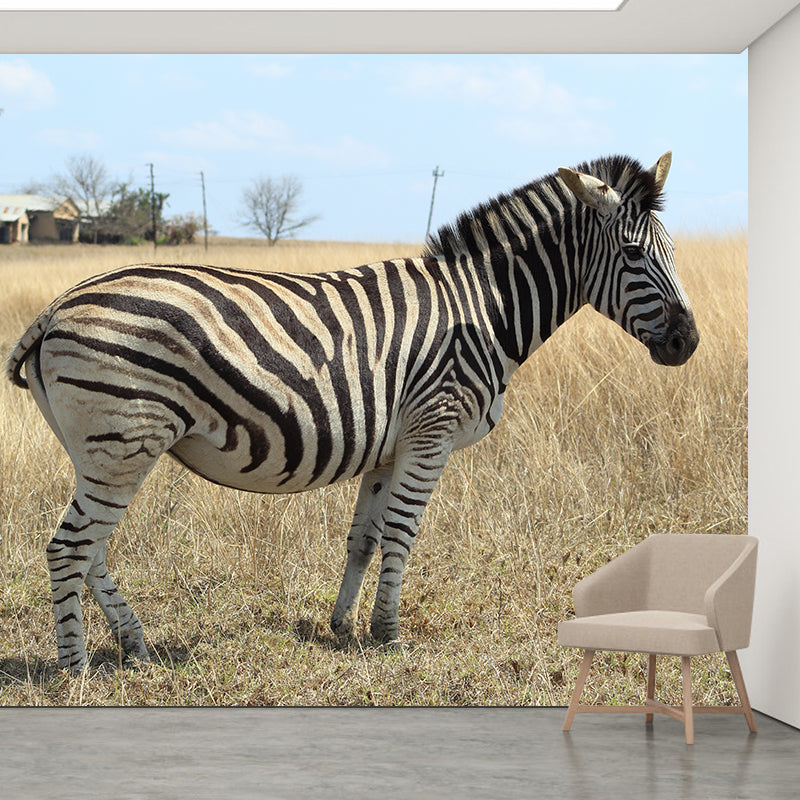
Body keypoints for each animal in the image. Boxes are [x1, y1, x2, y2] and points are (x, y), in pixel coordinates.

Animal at [6, 153, 698, 673]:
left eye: (669, 250)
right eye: (636, 255)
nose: (688, 343)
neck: (484, 306)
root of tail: (56, 307)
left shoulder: (391, 446)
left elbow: (363, 537)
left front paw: (342, 626)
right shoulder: (431, 430)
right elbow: (402, 534)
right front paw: (388, 634)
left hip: (100, 446)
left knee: (90, 548)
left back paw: (134, 644)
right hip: (125, 439)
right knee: (69, 548)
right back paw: (76, 671)